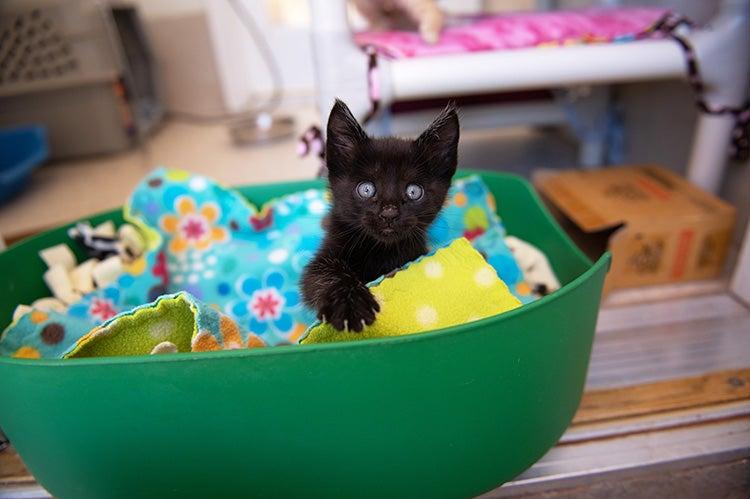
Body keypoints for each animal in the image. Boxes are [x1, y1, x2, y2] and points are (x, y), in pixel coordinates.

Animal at [302, 98, 458, 332]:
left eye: (414, 191)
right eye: (366, 189)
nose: (389, 213)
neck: (380, 250)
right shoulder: (323, 257)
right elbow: (322, 274)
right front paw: (351, 305)